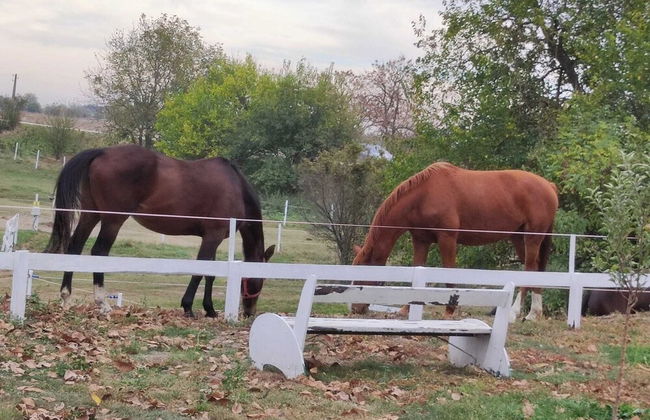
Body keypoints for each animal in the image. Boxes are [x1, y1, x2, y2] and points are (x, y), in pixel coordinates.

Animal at [45, 144, 275, 318]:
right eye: (260, 279)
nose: (249, 313)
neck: (237, 189)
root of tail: (102, 152)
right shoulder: (213, 237)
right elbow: (201, 272)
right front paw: (190, 307)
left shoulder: (212, 238)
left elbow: (209, 273)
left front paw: (208, 310)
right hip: (112, 220)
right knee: (99, 252)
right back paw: (102, 303)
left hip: (90, 214)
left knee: (75, 247)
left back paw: (66, 297)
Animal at [351, 162, 558, 321]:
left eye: (362, 275)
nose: (355, 308)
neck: (424, 195)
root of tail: (549, 185)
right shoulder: (421, 240)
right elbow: (417, 271)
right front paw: (406, 309)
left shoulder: (447, 239)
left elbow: (449, 272)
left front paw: (450, 311)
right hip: (518, 237)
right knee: (535, 268)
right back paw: (534, 313)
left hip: (532, 237)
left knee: (529, 268)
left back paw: (515, 313)